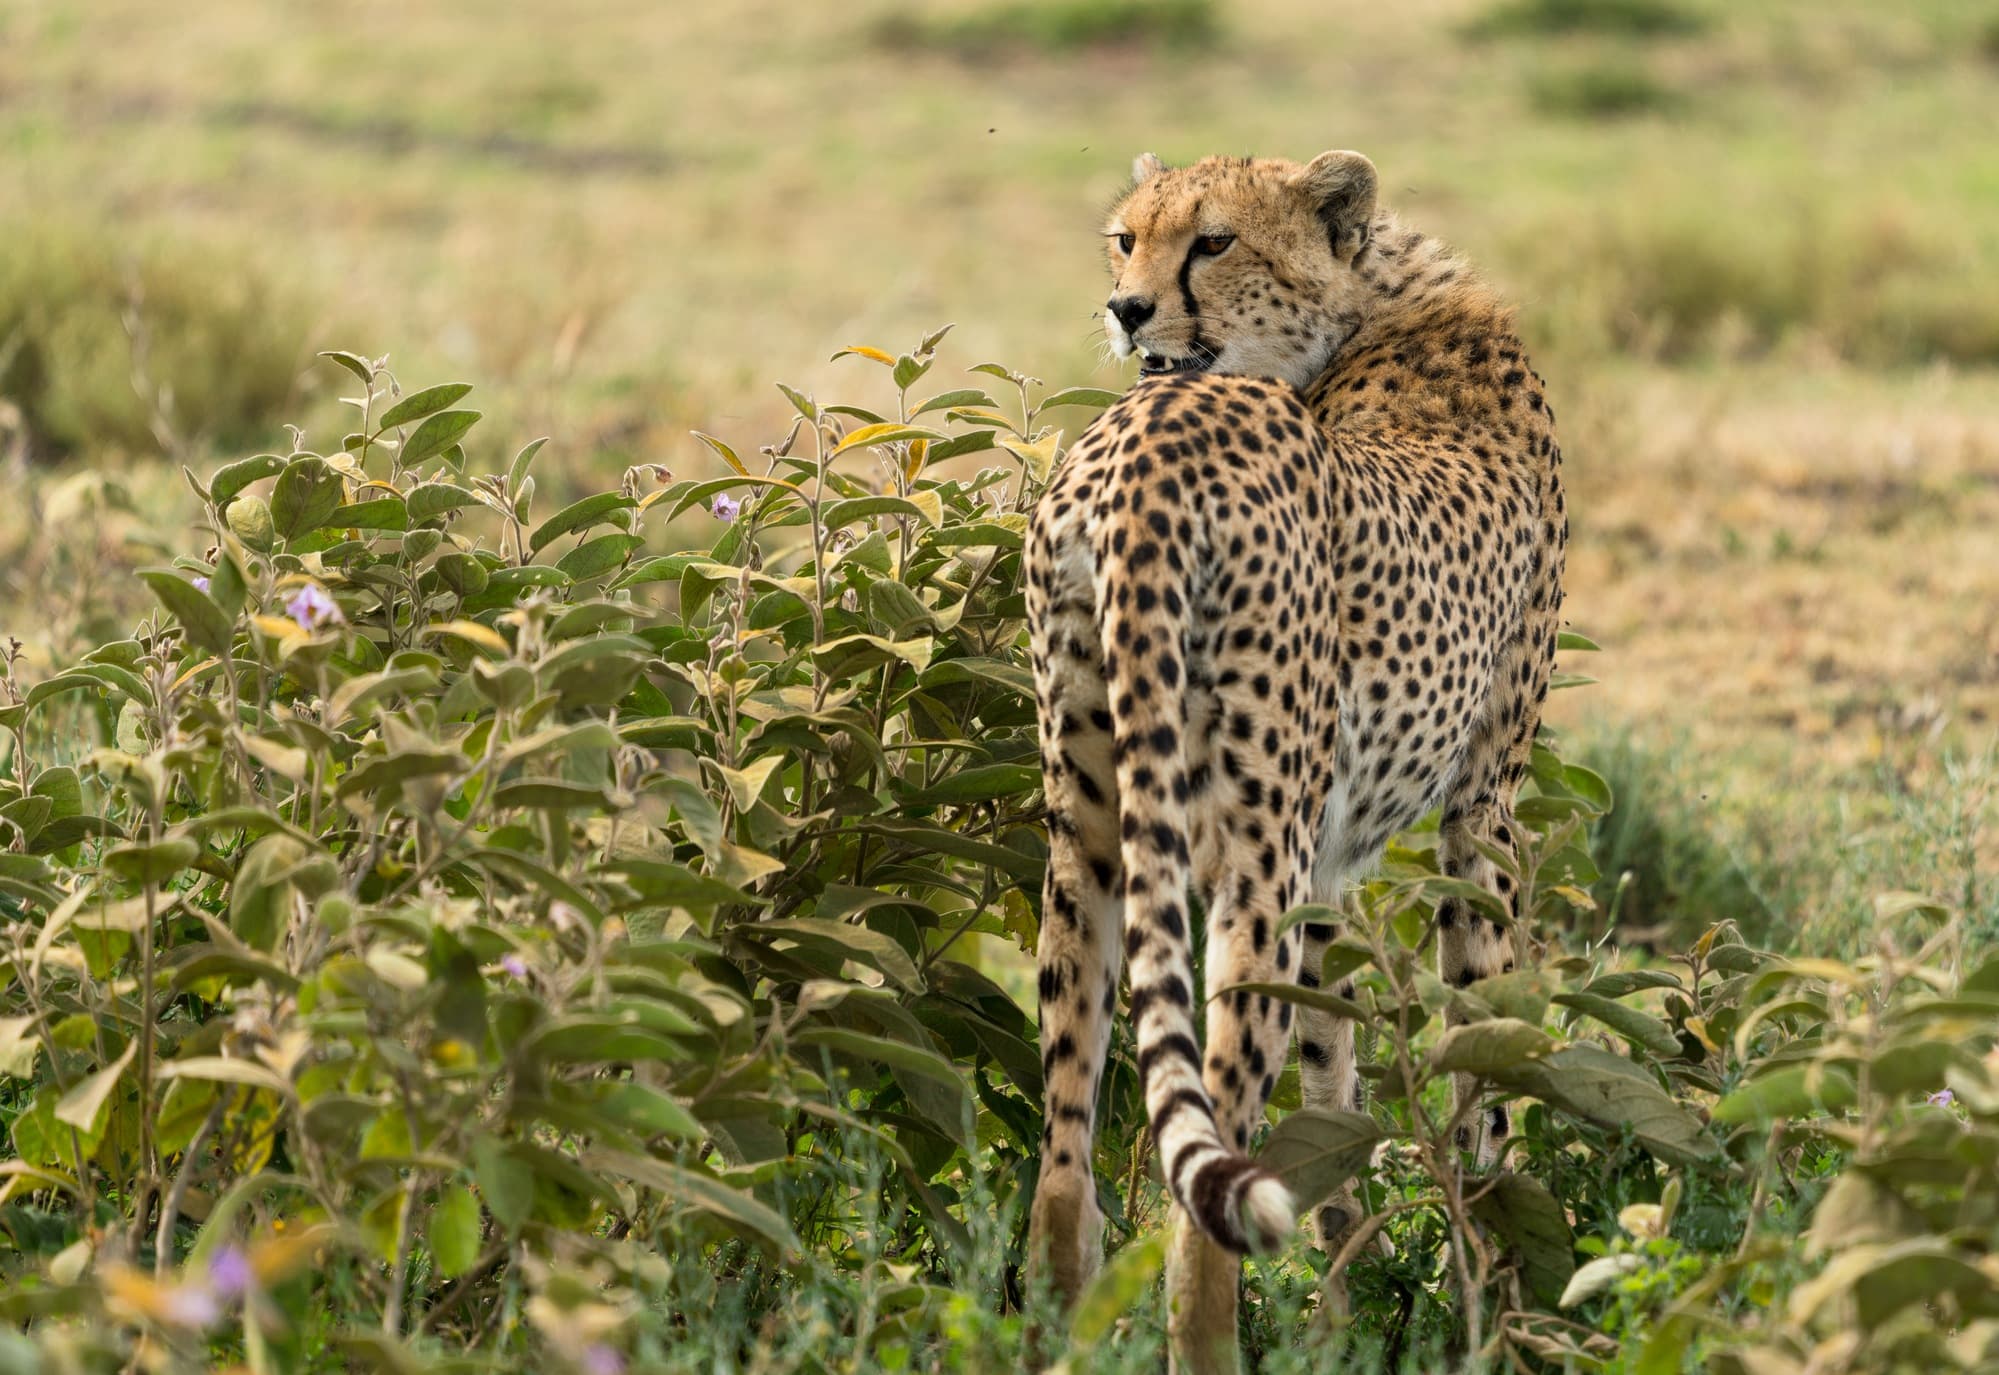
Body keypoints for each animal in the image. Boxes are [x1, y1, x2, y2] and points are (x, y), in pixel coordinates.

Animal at [1021, 149, 1567, 1374]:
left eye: (1212, 241)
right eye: (1126, 239)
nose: (1126, 310)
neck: (1372, 306)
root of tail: (1142, 446)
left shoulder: (1325, 860)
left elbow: (1336, 1075)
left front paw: (1348, 1312)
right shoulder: (1481, 808)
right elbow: (1482, 1064)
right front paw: (1492, 1297)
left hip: (1089, 834)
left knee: (1065, 1161)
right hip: (1244, 871)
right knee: (1202, 1205)